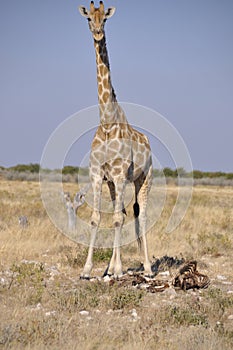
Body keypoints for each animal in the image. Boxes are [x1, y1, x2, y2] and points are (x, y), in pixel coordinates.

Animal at [79, 1, 154, 278]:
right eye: (88, 18)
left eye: (106, 19)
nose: (98, 33)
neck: (107, 124)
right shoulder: (97, 174)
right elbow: (97, 218)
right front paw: (88, 269)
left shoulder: (122, 174)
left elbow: (120, 219)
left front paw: (120, 269)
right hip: (113, 184)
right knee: (120, 212)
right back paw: (110, 268)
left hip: (144, 178)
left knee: (140, 215)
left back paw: (146, 267)